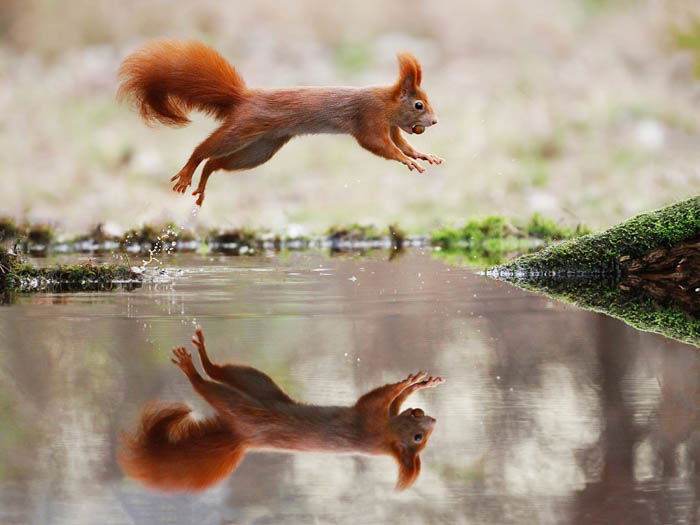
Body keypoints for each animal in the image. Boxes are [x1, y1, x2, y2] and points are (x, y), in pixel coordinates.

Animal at [117, 39, 440, 205]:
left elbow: (401, 143)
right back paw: (187, 173)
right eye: (419, 104)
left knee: (216, 163)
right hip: (242, 130)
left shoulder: (392, 127)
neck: (387, 104)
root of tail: (243, 98)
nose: (435, 121)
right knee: (204, 150)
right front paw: (406, 160)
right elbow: (381, 146)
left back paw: (204, 183)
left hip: (259, 149)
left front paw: (422, 155)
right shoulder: (369, 119)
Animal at [117, 330, 440, 490]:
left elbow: (382, 396)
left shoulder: (368, 418)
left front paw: (410, 383)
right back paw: (204, 356)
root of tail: (242, 437)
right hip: (258, 382)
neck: (385, 436)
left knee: (208, 385)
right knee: (222, 371)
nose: (432, 419)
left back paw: (193, 369)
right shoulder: (375, 415)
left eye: (418, 440)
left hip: (243, 406)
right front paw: (417, 383)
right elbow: (392, 397)